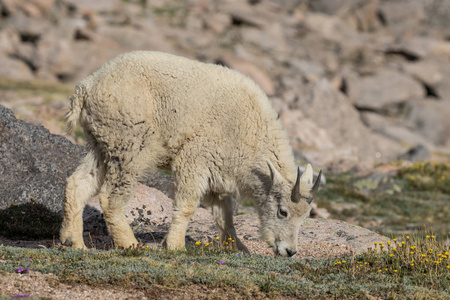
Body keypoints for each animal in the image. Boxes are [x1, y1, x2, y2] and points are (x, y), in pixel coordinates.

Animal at [59, 50, 322, 256]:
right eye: (282, 211)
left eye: (305, 217)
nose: (289, 251)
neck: (251, 134)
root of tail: (85, 88)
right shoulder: (195, 158)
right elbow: (187, 205)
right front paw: (174, 246)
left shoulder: (220, 173)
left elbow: (225, 215)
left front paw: (237, 248)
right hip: (129, 145)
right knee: (109, 196)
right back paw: (130, 244)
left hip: (101, 144)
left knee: (78, 183)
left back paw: (73, 242)